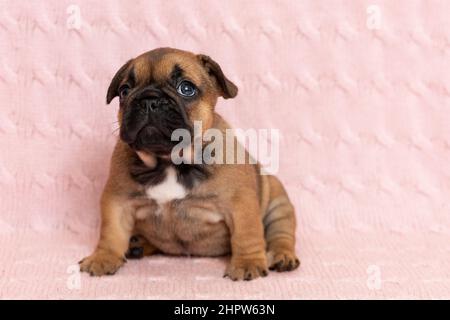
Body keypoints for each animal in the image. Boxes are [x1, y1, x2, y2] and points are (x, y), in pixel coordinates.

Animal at [80, 47, 298, 280]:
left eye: (186, 88)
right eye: (124, 91)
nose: (148, 100)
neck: (169, 161)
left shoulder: (241, 203)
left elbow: (246, 234)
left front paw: (247, 263)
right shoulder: (117, 200)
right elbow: (112, 232)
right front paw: (103, 258)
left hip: (278, 203)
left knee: (281, 234)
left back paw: (282, 256)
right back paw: (137, 244)